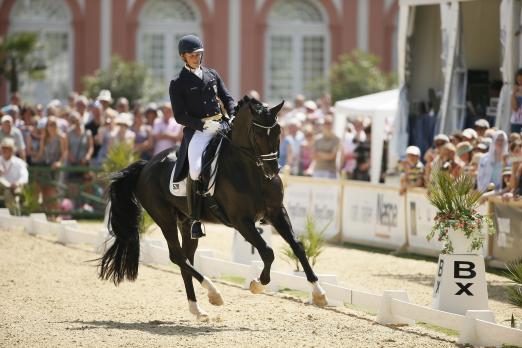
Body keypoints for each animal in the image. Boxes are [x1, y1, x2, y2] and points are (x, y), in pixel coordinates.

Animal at [98, 95, 324, 318]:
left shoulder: (276, 212)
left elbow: (297, 246)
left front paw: (319, 293)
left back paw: (197, 309)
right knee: (178, 257)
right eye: (257, 133)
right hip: (165, 219)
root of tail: (146, 165)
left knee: (187, 259)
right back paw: (214, 293)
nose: (272, 170)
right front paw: (257, 284)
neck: (252, 172)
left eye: (278, 131)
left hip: (187, 222)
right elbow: (267, 251)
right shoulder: (241, 220)